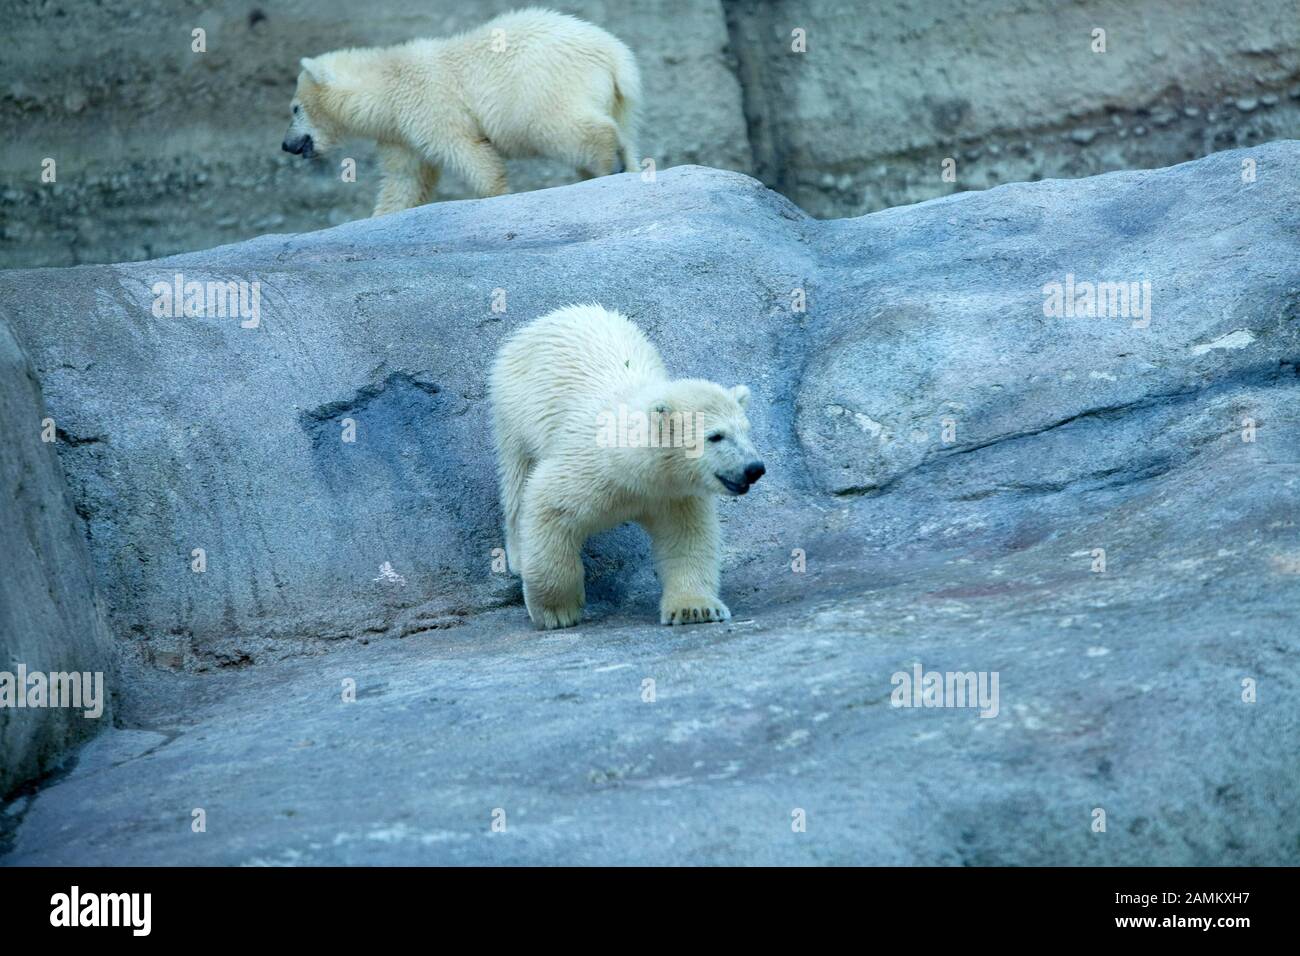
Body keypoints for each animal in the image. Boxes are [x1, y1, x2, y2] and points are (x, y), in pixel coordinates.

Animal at [280, 7, 639, 217]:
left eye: (295, 108)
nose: (286, 144)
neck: (387, 84)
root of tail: (614, 54)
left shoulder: (428, 104)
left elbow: (468, 152)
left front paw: (496, 195)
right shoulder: (400, 134)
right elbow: (405, 181)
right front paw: (382, 219)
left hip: (540, 86)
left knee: (565, 128)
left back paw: (607, 163)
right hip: (615, 98)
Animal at [491, 306, 764, 632]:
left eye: (746, 431)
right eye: (716, 436)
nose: (754, 468)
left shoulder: (673, 494)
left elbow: (687, 537)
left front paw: (693, 608)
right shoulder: (587, 467)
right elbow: (548, 505)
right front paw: (556, 612)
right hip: (515, 410)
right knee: (517, 478)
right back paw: (518, 556)